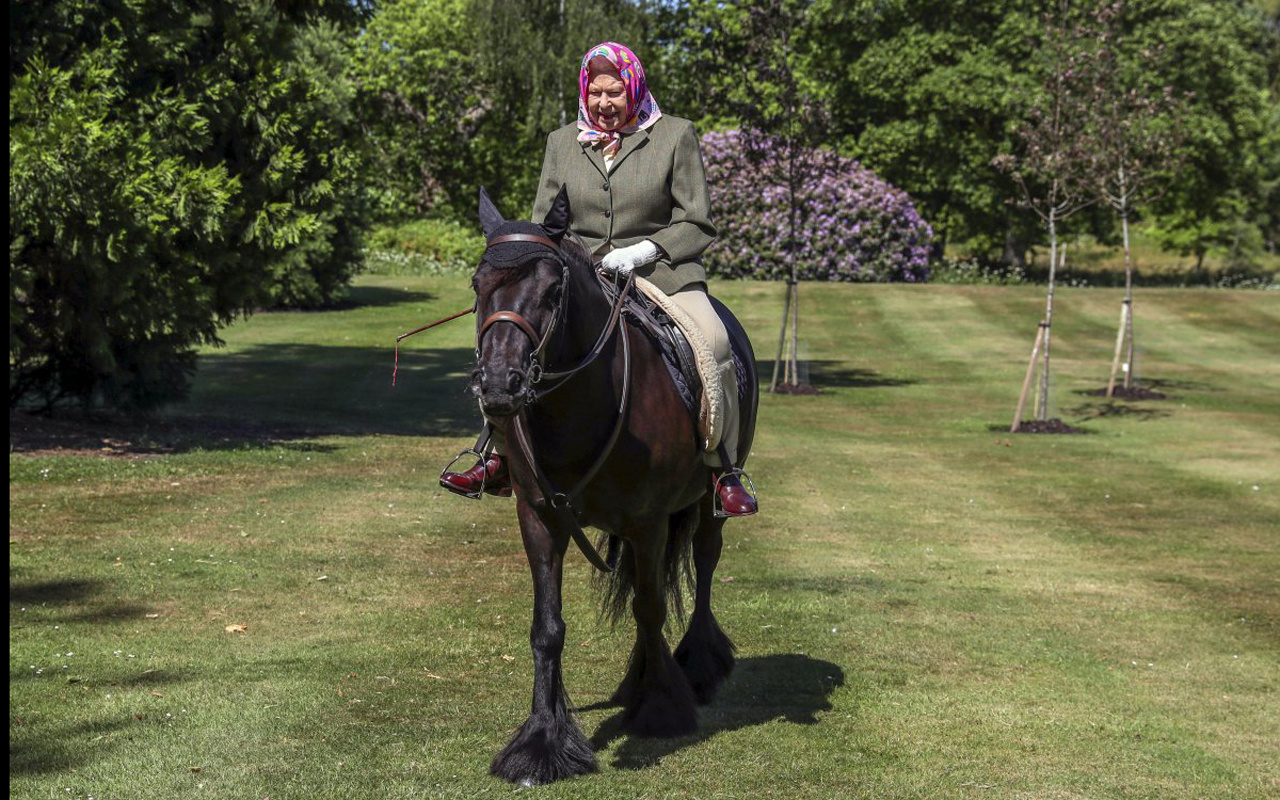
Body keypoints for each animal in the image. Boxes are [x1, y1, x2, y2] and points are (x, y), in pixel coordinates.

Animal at [468, 188, 747, 788]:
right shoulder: (539, 517)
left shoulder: (648, 522)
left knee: (704, 566)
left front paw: (659, 708)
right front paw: (541, 742)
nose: (499, 386)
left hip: (708, 506)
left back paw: (696, 667)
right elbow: (548, 627)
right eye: (477, 285)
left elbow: (651, 608)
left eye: (552, 291)